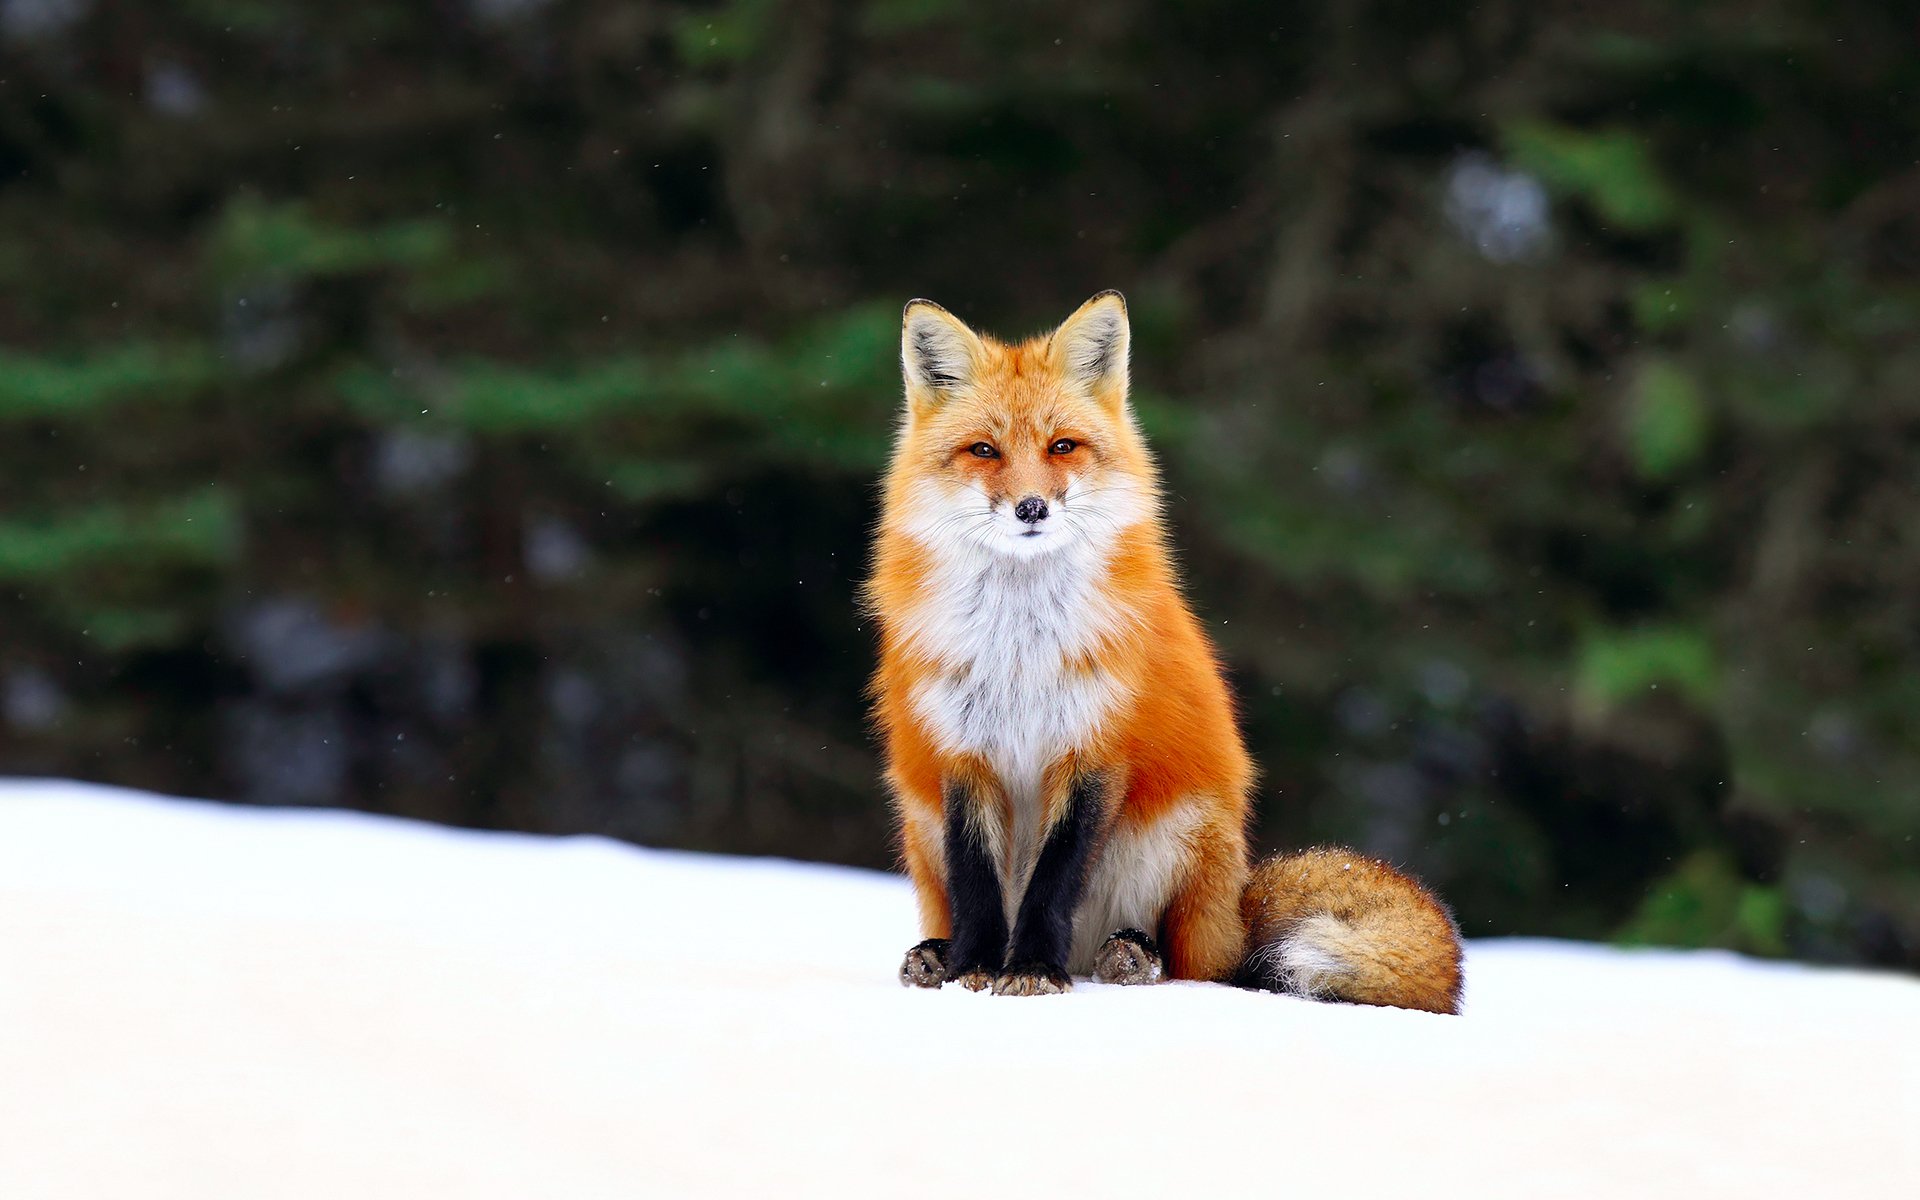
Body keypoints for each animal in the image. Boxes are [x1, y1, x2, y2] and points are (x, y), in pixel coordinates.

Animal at [865, 290, 1463, 1013]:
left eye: (1062, 446)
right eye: (984, 450)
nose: (1032, 508)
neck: (1020, 651)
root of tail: (1233, 910)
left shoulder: (1095, 749)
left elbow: (1053, 881)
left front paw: (1032, 969)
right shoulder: (961, 751)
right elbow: (977, 882)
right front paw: (974, 971)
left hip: (1177, 835)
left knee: (1189, 963)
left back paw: (1129, 956)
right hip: (919, 825)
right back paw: (935, 955)